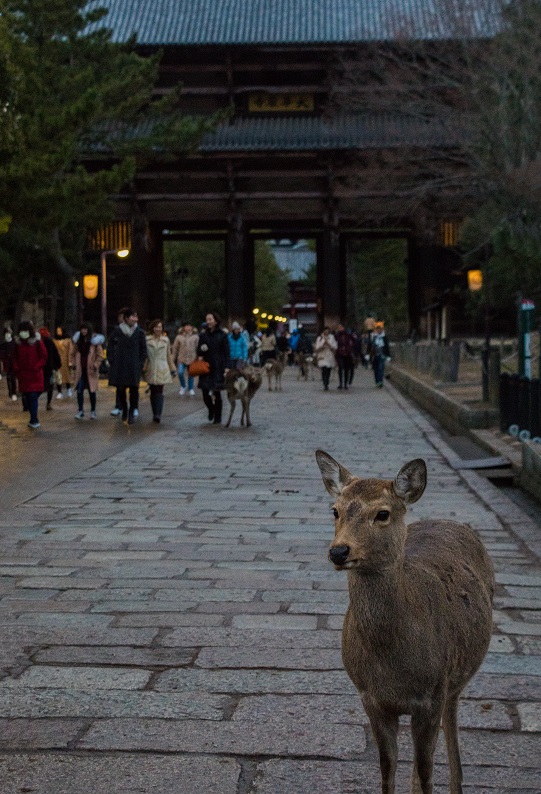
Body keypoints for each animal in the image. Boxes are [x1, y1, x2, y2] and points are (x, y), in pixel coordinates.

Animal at [312, 448, 494, 788]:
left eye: (382, 513)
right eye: (335, 510)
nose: (339, 552)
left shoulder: (432, 694)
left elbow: (425, 771)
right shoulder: (370, 698)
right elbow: (388, 768)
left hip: (455, 678)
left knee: (450, 728)